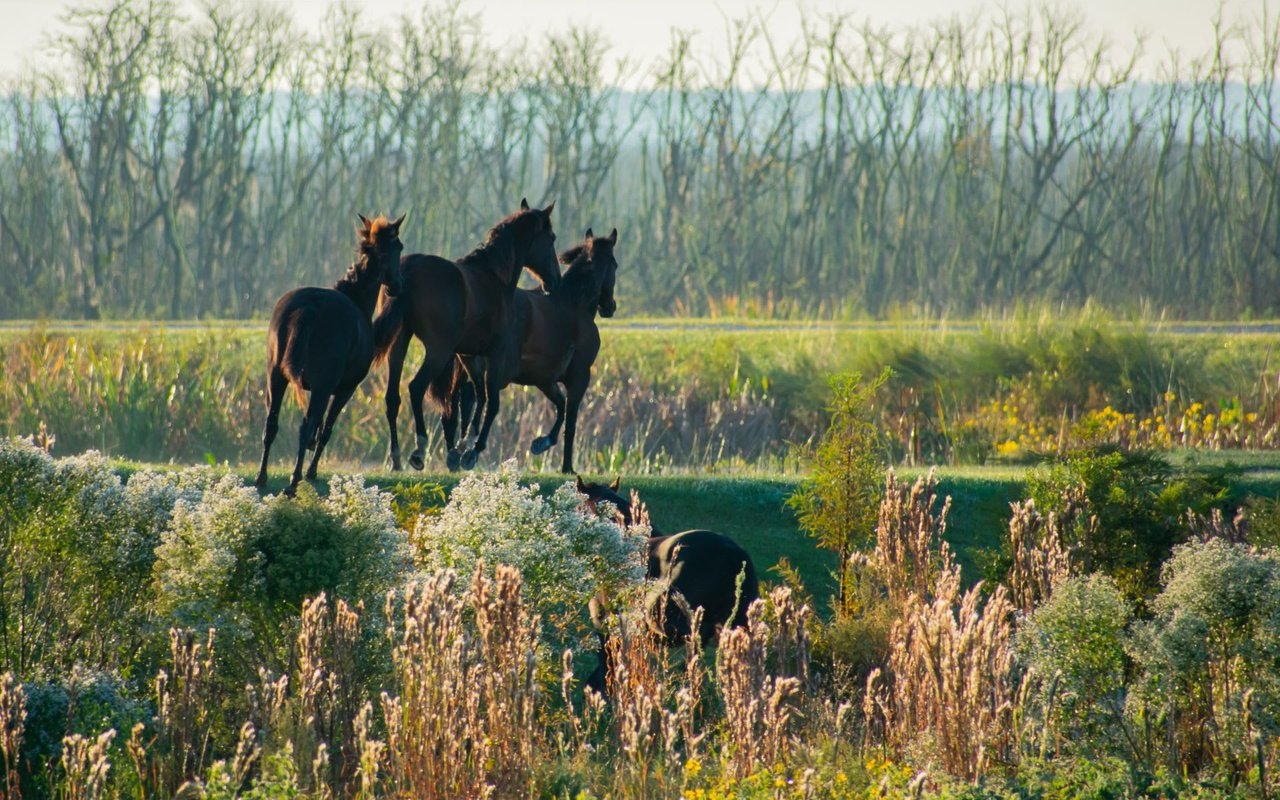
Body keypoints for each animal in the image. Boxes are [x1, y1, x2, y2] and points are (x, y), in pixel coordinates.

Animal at [254, 215, 404, 496]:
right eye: (398, 247)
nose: (397, 286)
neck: (356, 300)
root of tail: (309, 309)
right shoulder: (345, 388)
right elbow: (326, 428)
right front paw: (312, 471)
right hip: (323, 386)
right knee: (306, 425)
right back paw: (294, 481)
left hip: (275, 376)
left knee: (271, 424)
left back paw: (261, 478)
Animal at [371, 199, 560, 471]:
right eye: (551, 238)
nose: (554, 281)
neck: (494, 278)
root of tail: (408, 271)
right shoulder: (495, 354)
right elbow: (492, 402)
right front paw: (472, 450)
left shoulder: (468, 355)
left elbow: (478, 397)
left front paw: (465, 442)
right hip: (437, 352)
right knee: (416, 388)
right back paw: (419, 450)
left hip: (399, 344)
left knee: (392, 398)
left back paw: (396, 459)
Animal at [445, 227, 619, 471]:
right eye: (615, 265)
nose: (610, 307)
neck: (575, 305)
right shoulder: (579, 377)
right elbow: (570, 422)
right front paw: (567, 466)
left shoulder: (544, 380)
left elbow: (560, 406)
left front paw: (542, 442)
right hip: (495, 370)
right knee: (480, 399)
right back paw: (469, 450)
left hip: (470, 366)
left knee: (463, 399)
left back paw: (457, 451)